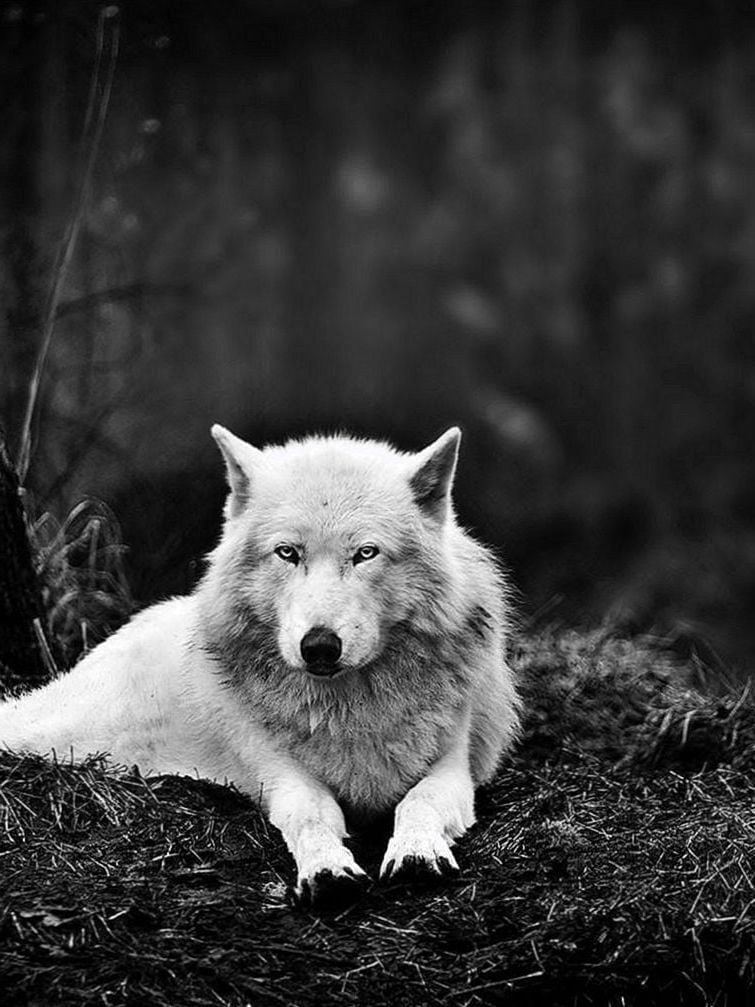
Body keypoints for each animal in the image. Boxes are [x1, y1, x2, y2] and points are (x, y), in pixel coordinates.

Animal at [0, 424, 519, 906]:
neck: (349, 708)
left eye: (365, 553)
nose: (320, 646)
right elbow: (309, 814)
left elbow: (419, 801)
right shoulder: (281, 773)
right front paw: (327, 870)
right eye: (288, 553)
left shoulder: (454, 766)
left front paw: (415, 853)